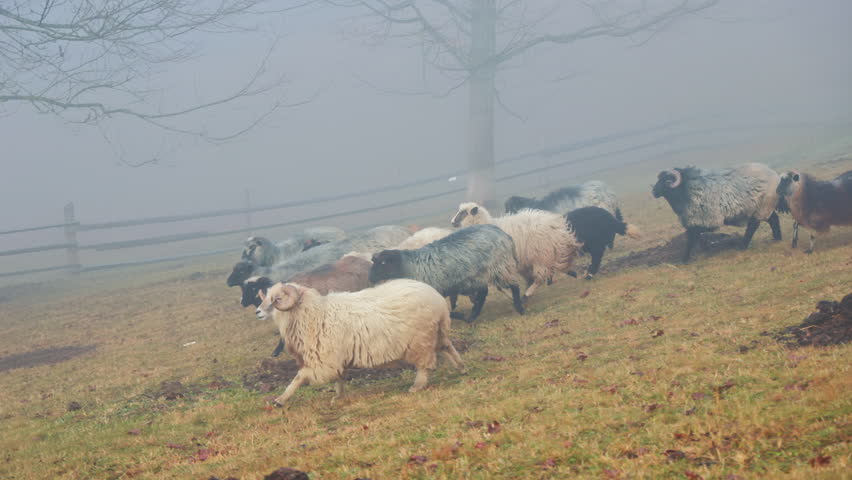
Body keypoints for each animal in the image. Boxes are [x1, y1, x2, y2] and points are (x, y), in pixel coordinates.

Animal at [255, 279, 465, 406]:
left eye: (277, 299)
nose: (257, 312)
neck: (311, 313)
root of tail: (437, 298)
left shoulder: (323, 360)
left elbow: (299, 377)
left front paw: (280, 400)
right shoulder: (334, 359)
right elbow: (339, 377)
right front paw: (338, 396)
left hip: (420, 341)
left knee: (424, 365)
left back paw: (417, 386)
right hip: (436, 333)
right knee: (447, 346)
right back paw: (461, 367)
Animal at [369, 224, 525, 322]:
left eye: (383, 263)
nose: (370, 277)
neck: (408, 266)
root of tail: (504, 234)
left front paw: (456, 314)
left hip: (500, 267)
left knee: (513, 286)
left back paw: (519, 308)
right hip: (480, 275)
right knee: (483, 293)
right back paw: (472, 316)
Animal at [450, 203, 581, 301]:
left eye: (463, 213)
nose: (452, 222)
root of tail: (556, 225)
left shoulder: (499, 266)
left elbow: (501, 285)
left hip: (540, 255)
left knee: (540, 277)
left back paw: (528, 293)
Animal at [652, 163, 783, 263]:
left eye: (665, 180)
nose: (653, 191)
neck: (686, 190)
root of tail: (775, 175)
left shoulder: (705, 219)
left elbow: (692, 237)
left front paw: (685, 259)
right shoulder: (698, 220)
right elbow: (696, 236)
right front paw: (704, 249)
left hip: (762, 206)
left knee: (753, 225)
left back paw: (742, 246)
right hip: (763, 207)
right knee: (773, 219)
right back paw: (776, 238)